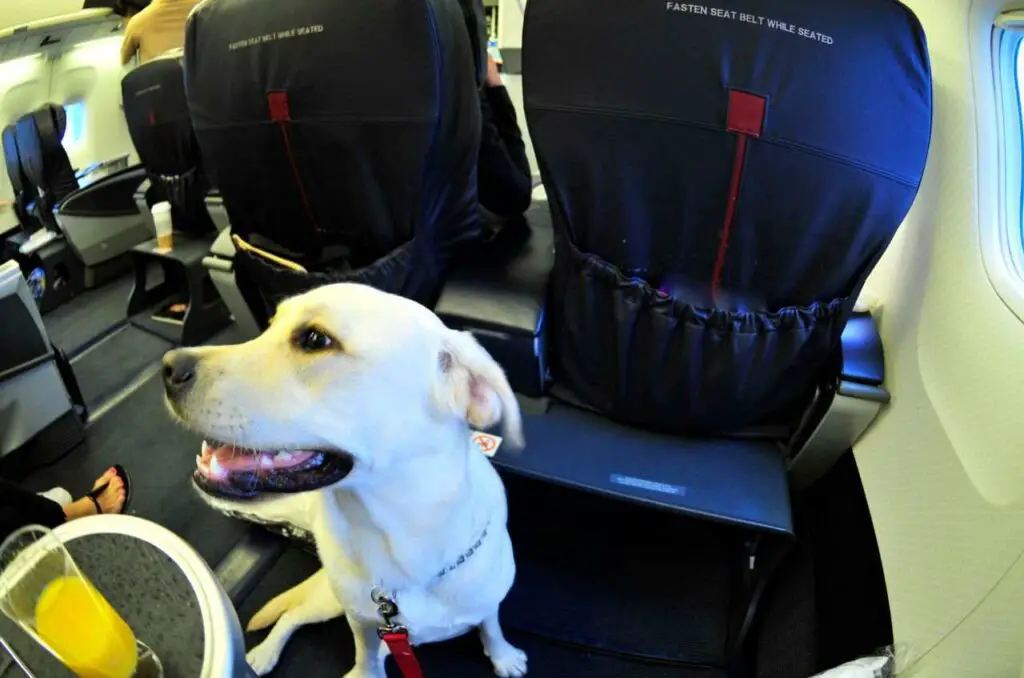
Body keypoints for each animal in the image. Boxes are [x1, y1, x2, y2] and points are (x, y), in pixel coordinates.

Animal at [161, 284, 528, 675]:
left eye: (315, 339)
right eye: (270, 324)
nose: (168, 368)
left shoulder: (487, 602)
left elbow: (491, 625)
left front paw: (503, 656)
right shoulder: (363, 621)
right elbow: (364, 652)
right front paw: (365, 672)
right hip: (330, 601)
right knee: (292, 616)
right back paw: (263, 654)